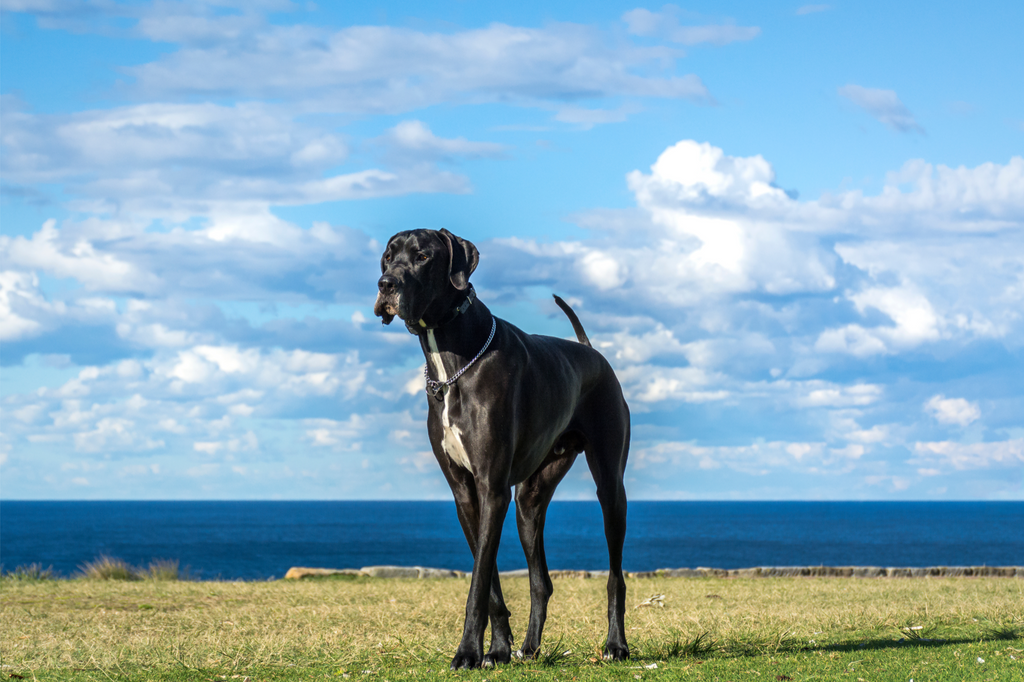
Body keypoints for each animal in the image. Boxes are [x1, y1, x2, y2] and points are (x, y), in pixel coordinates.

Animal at [376, 231, 630, 667]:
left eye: (423, 256)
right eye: (387, 258)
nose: (386, 285)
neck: (452, 360)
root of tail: (591, 351)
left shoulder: (492, 488)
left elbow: (478, 583)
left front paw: (467, 652)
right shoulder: (467, 493)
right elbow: (489, 580)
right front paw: (495, 650)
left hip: (611, 489)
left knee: (616, 577)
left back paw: (616, 645)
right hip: (529, 501)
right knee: (541, 581)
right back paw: (529, 648)